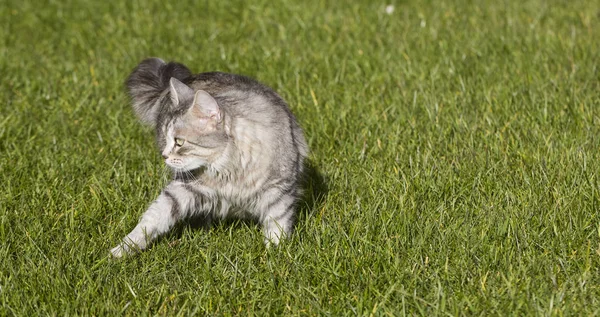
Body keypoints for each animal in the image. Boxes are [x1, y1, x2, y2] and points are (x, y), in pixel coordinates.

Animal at [110, 57, 310, 256]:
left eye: (179, 142)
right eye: (166, 139)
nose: (164, 155)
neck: (231, 169)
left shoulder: (280, 190)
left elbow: (277, 226)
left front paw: (275, 254)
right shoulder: (184, 188)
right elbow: (153, 217)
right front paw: (124, 249)